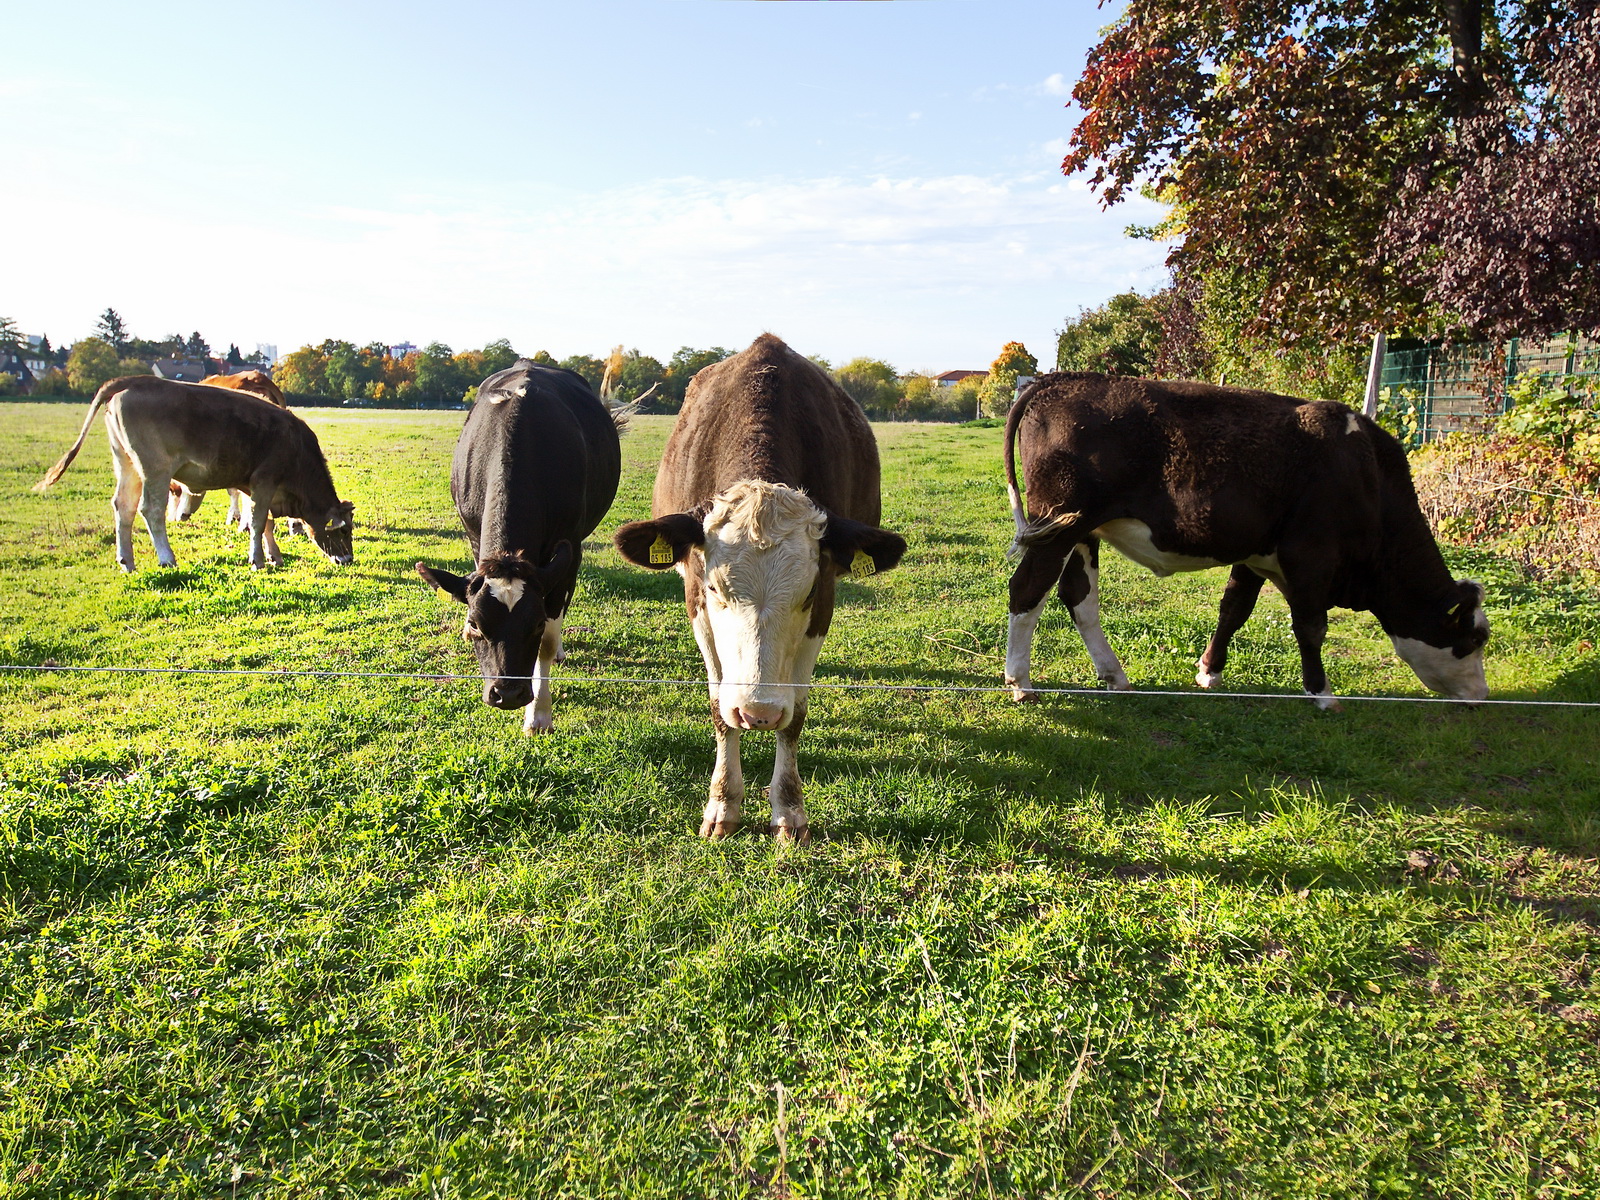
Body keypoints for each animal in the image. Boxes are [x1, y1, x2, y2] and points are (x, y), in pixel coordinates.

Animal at [34, 376, 355, 572]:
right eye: (342, 530)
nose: (348, 559)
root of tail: (137, 379)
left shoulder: (256, 486)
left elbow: (264, 523)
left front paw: (273, 555)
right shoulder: (264, 481)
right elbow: (259, 520)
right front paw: (257, 560)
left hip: (126, 464)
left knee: (123, 507)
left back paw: (127, 561)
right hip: (155, 469)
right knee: (150, 510)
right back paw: (166, 558)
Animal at [416, 360, 627, 732]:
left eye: (536, 624)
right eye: (475, 624)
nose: (508, 694)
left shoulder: (568, 553)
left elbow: (547, 641)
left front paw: (539, 713)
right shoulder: (475, 540)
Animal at [611, 334, 908, 838]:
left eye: (808, 593)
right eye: (715, 590)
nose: (758, 713)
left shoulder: (823, 608)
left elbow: (796, 716)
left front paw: (788, 809)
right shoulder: (694, 603)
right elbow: (718, 706)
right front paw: (722, 804)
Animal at [1004, 376, 1491, 710]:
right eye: (1473, 638)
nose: (1483, 695)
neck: (1369, 477)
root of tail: (1062, 378)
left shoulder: (1257, 554)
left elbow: (1234, 609)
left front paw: (1209, 673)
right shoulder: (1310, 555)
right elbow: (1311, 627)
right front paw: (1322, 693)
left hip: (1080, 533)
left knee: (1078, 597)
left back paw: (1114, 676)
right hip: (1059, 530)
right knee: (1027, 591)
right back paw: (1021, 683)